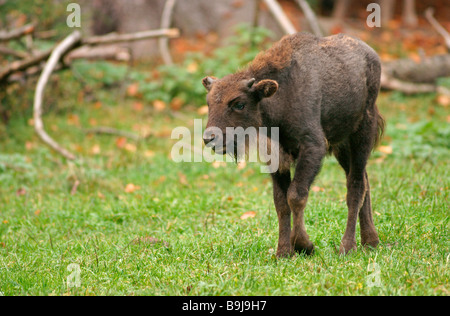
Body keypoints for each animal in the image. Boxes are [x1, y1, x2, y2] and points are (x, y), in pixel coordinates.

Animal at [202, 32, 384, 256]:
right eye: (209, 103)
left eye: (239, 104)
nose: (209, 138)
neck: (281, 96)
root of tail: (372, 55)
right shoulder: (276, 156)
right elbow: (281, 203)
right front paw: (283, 252)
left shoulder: (313, 146)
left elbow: (296, 195)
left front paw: (304, 245)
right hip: (342, 146)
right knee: (364, 181)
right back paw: (371, 241)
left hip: (361, 135)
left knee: (355, 186)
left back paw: (348, 246)